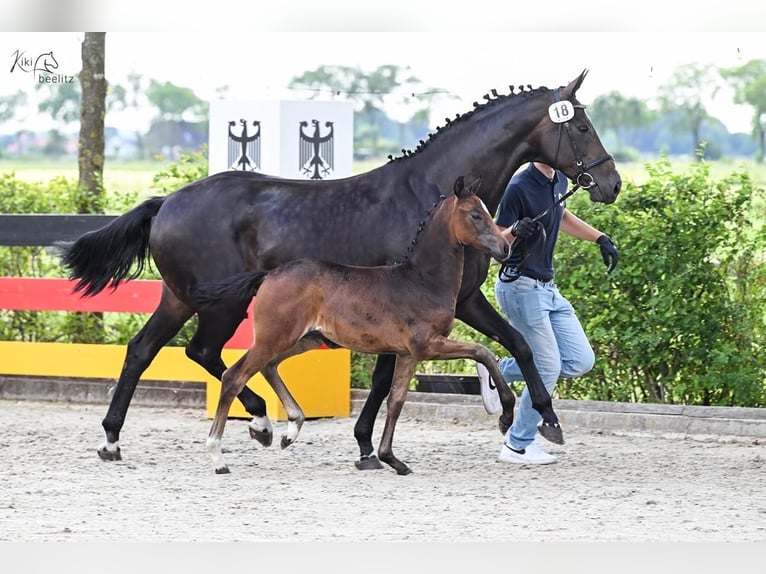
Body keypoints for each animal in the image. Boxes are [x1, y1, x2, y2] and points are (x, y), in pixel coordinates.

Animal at [190, 176, 513, 475]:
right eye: (476, 214)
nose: (505, 247)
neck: (422, 280)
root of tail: (268, 275)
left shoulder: (407, 354)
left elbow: (396, 401)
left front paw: (391, 459)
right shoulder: (427, 345)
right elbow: (483, 351)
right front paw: (505, 415)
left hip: (304, 339)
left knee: (269, 366)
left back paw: (290, 431)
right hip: (275, 337)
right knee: (235, 375)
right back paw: (218, 456)